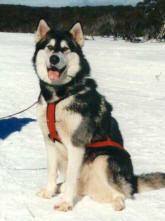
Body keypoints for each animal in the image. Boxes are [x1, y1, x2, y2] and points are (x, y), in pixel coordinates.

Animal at [32, 19, 165, 212]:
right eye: (49, 47)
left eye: (64, 49)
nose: (54, 59)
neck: (59, 97)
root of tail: (131, 180)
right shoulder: (49, 142)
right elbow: (51, 171)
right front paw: (49, 192)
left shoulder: (76, 144)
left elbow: (71, 178)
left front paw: (66, 203)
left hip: (104, 160)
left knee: (120, 194)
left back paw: (117, 204)